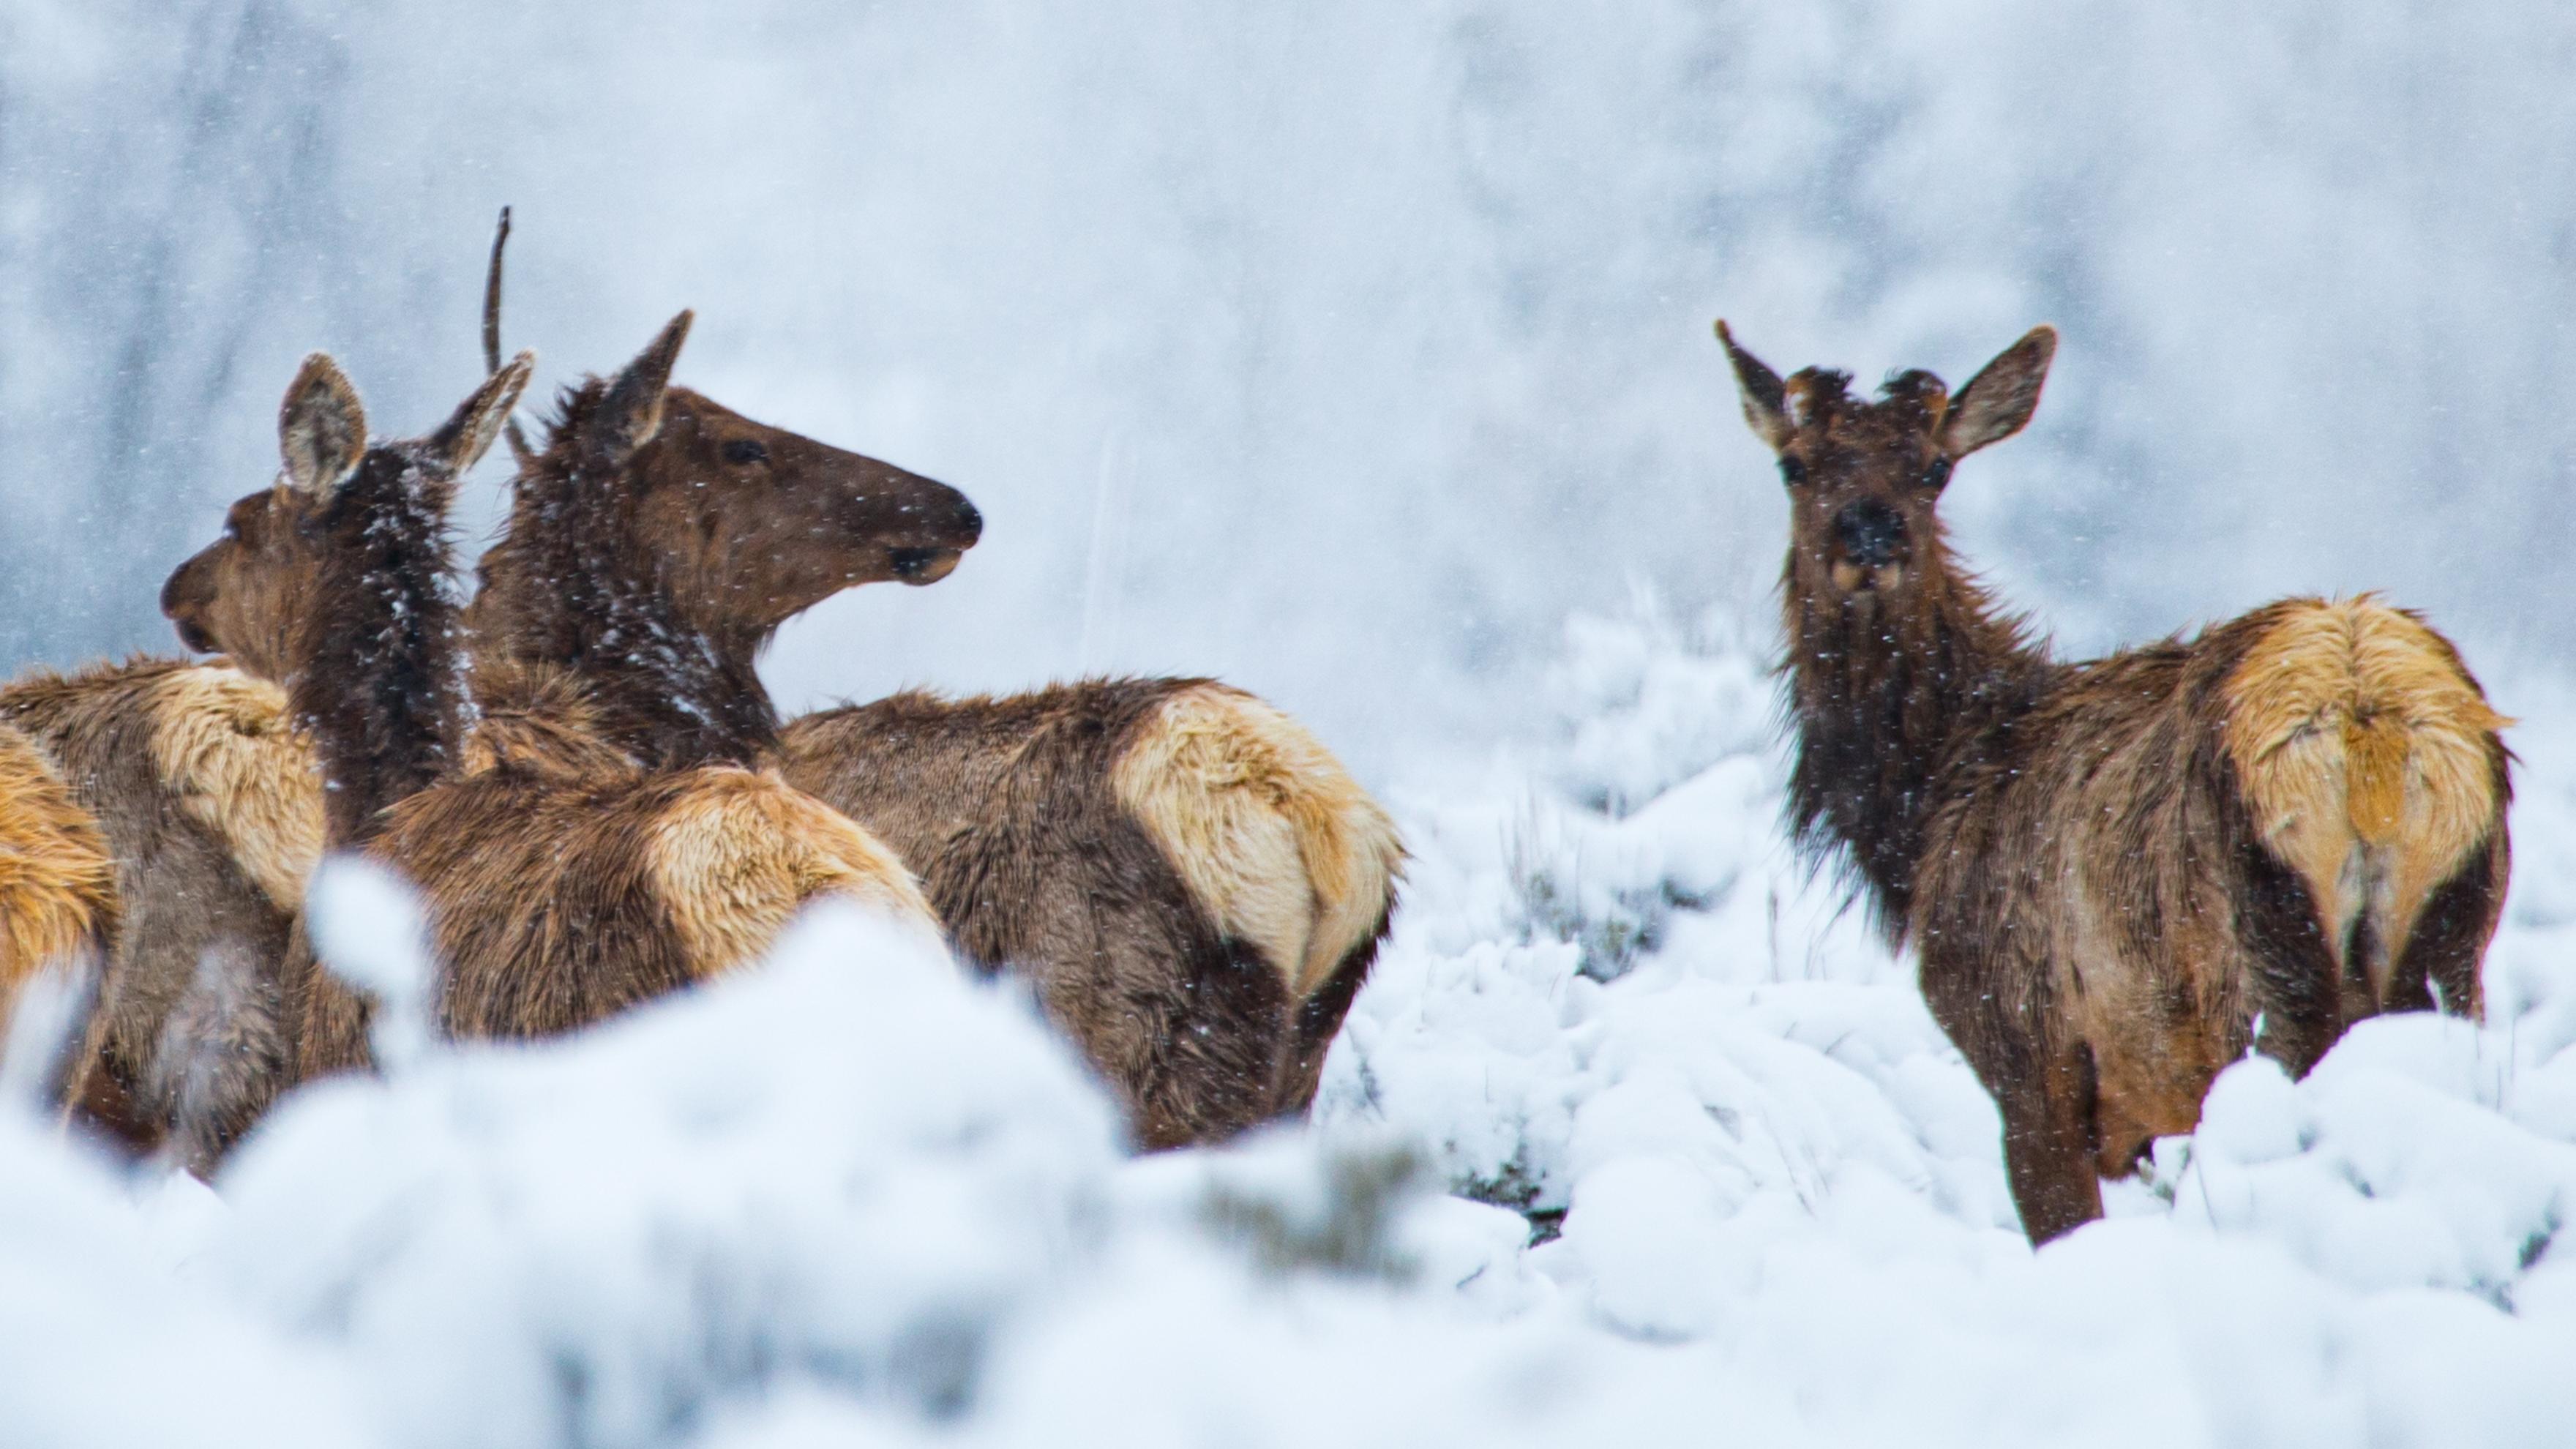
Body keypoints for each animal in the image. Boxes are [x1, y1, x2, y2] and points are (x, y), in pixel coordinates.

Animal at [1721, 321, 2504, 1238]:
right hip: (2452, 945)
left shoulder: (2026, 1055)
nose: (1871, 541)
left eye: (1933, 468)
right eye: (1795, 464)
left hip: (2260, 982)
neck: (1925, 811)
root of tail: (2362, 721)